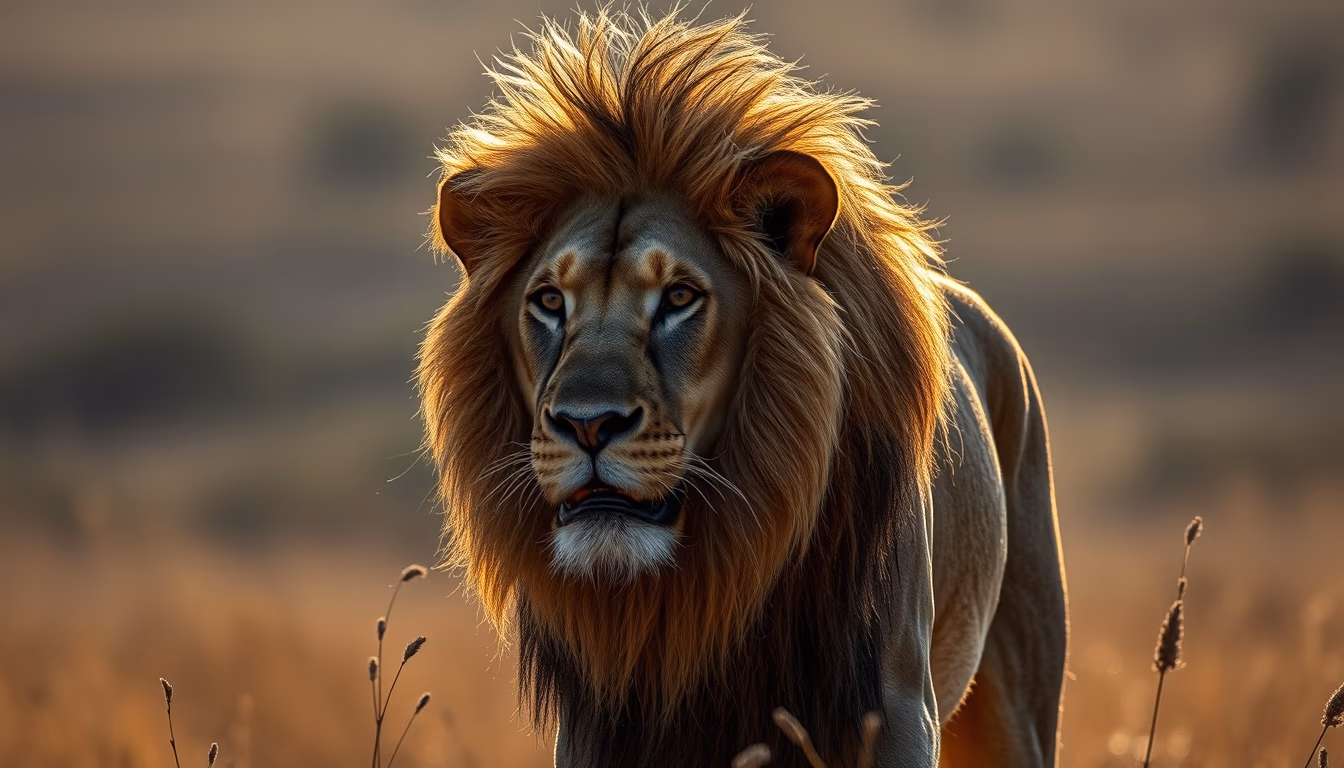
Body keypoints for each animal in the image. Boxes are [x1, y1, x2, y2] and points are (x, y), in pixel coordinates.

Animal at [416, 9, 1067, 768]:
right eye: (549, 301)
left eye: (679, 297)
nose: (587, 425)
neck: (714, 577)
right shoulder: (600, 727)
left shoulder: (897, 706)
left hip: (1016, 698)